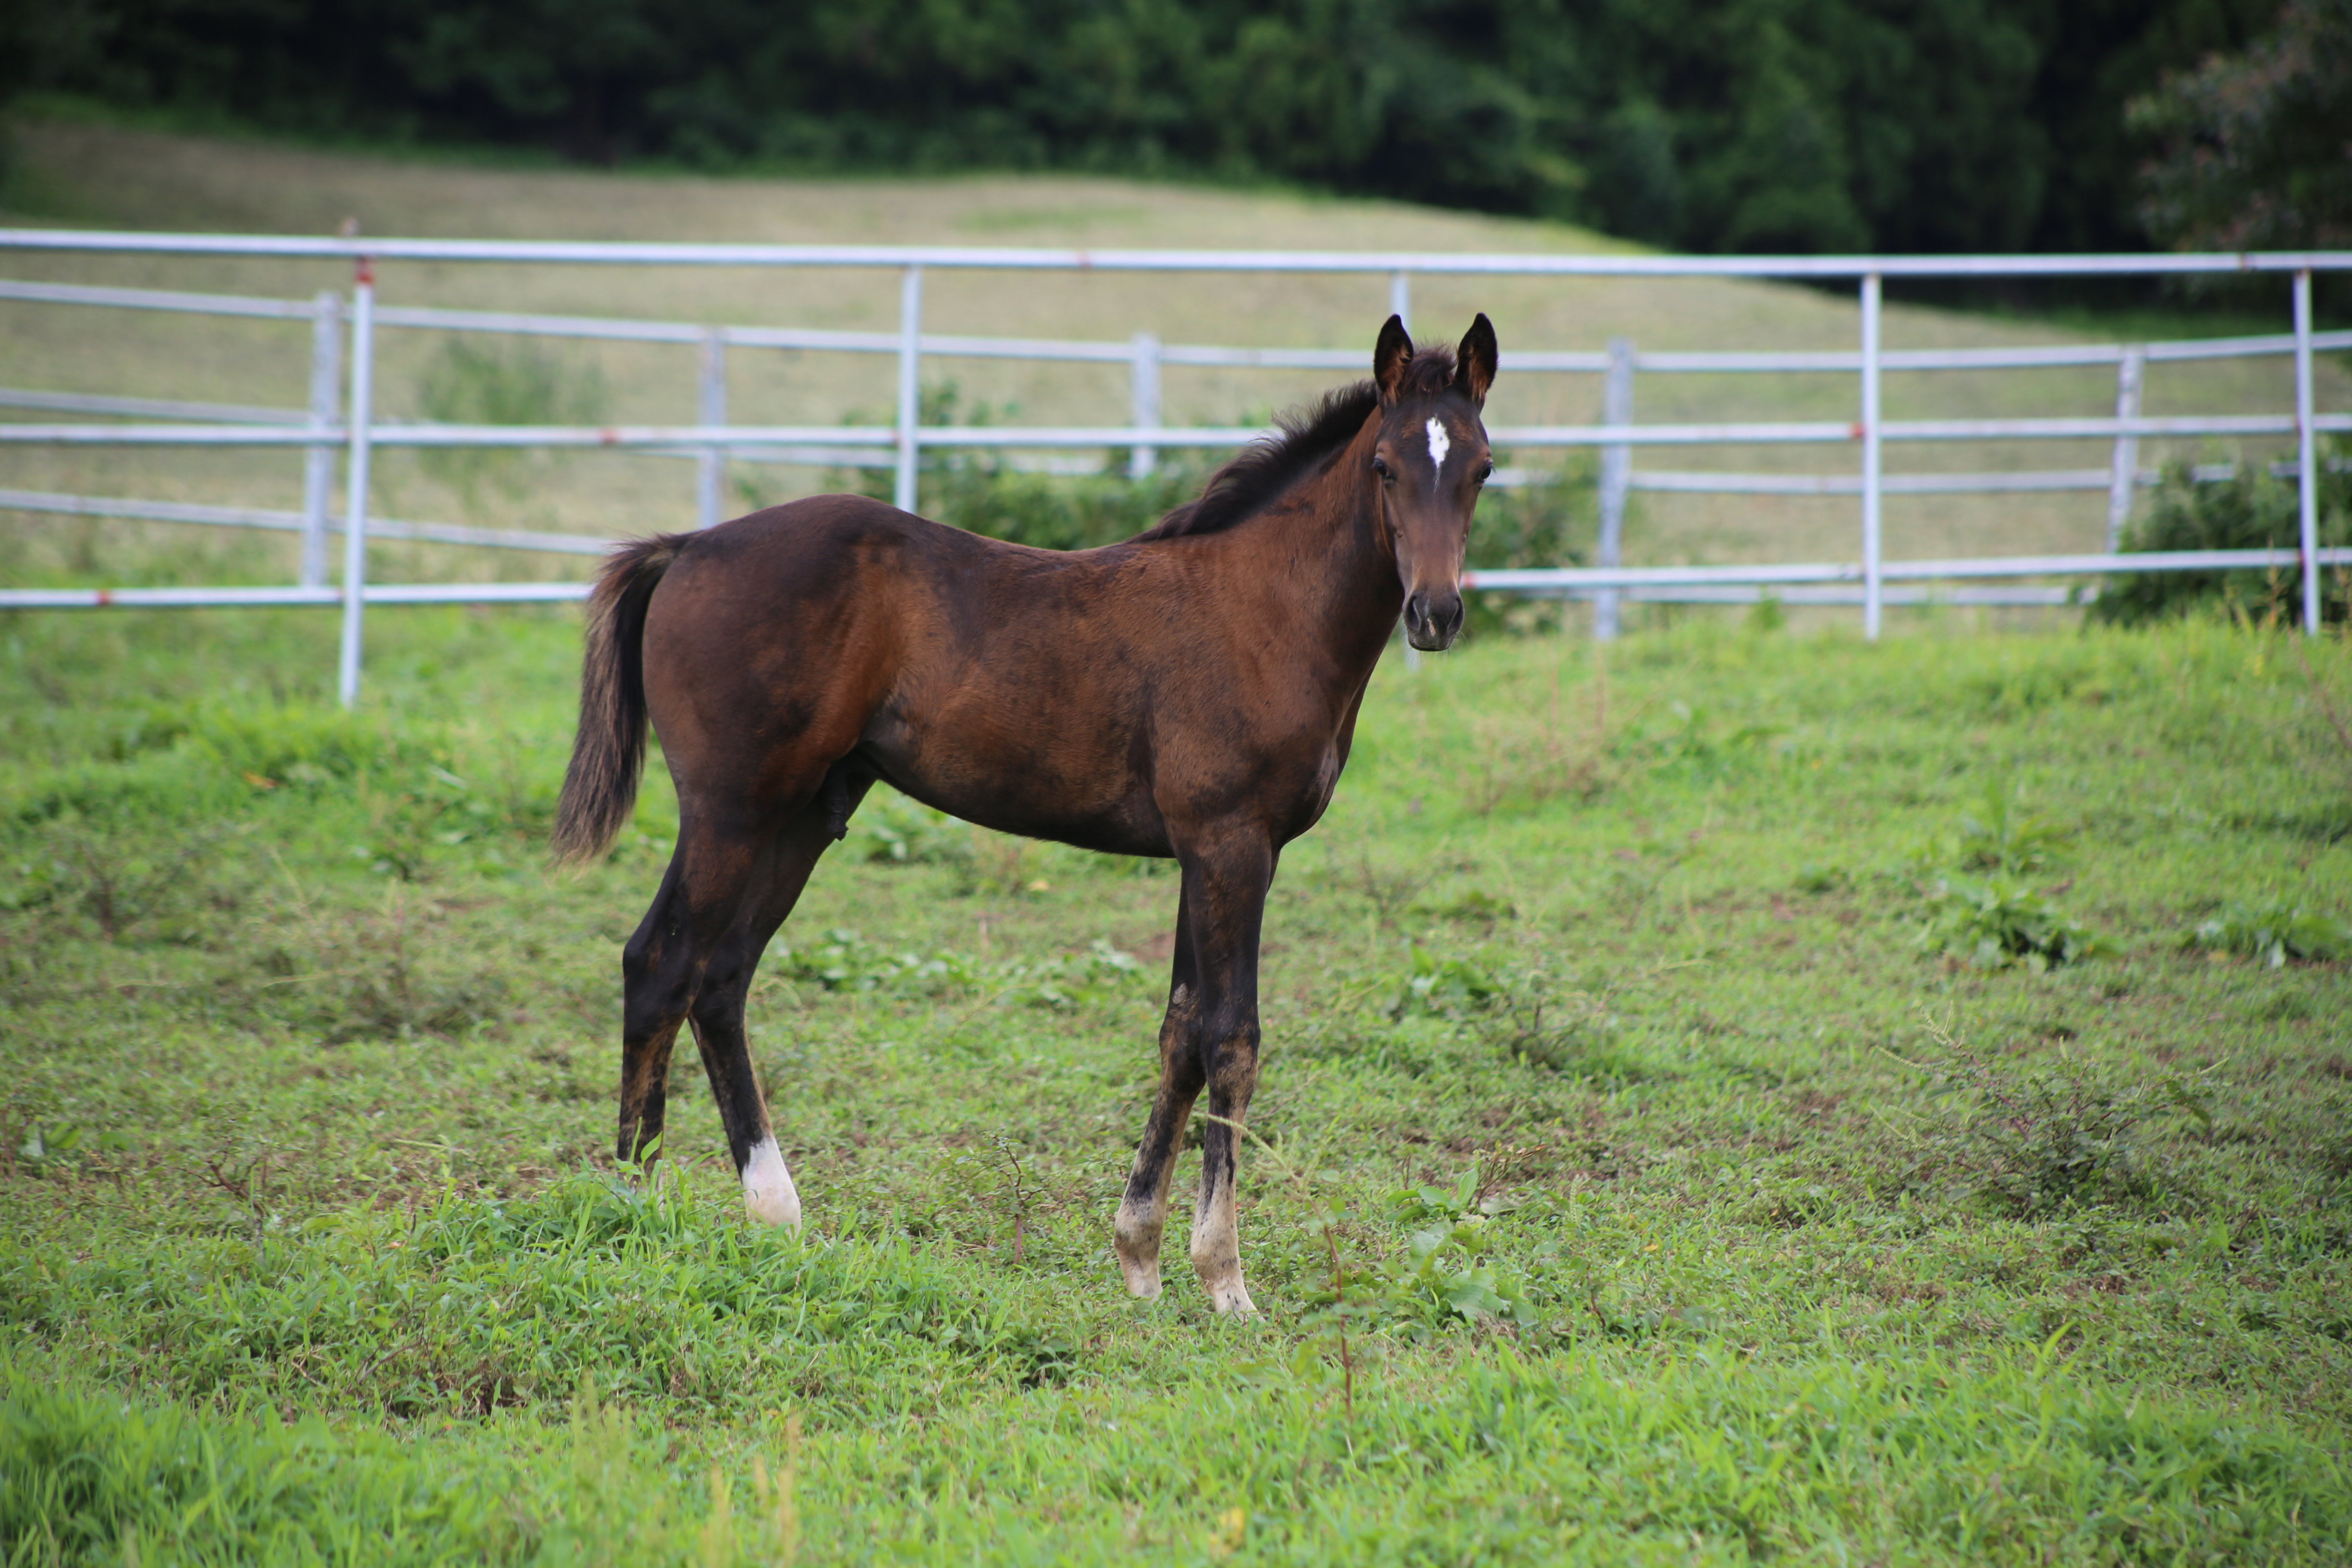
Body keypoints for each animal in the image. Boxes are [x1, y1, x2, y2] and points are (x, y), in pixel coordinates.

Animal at [559, 310, 1496, 1316]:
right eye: (1386, 467)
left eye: (1482, 467)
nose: (1435, 614)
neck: (1265, 611)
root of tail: (688, 545)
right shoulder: (1232, 845)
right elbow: (1231, 1038)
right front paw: (1225, 1281)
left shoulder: (1203, 854)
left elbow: (1179, 1034)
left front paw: (1139, 1260)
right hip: (731, 811)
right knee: (660, 964)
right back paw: (637, 1207)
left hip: (803, 814)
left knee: (722, 978)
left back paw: (774, 1212)